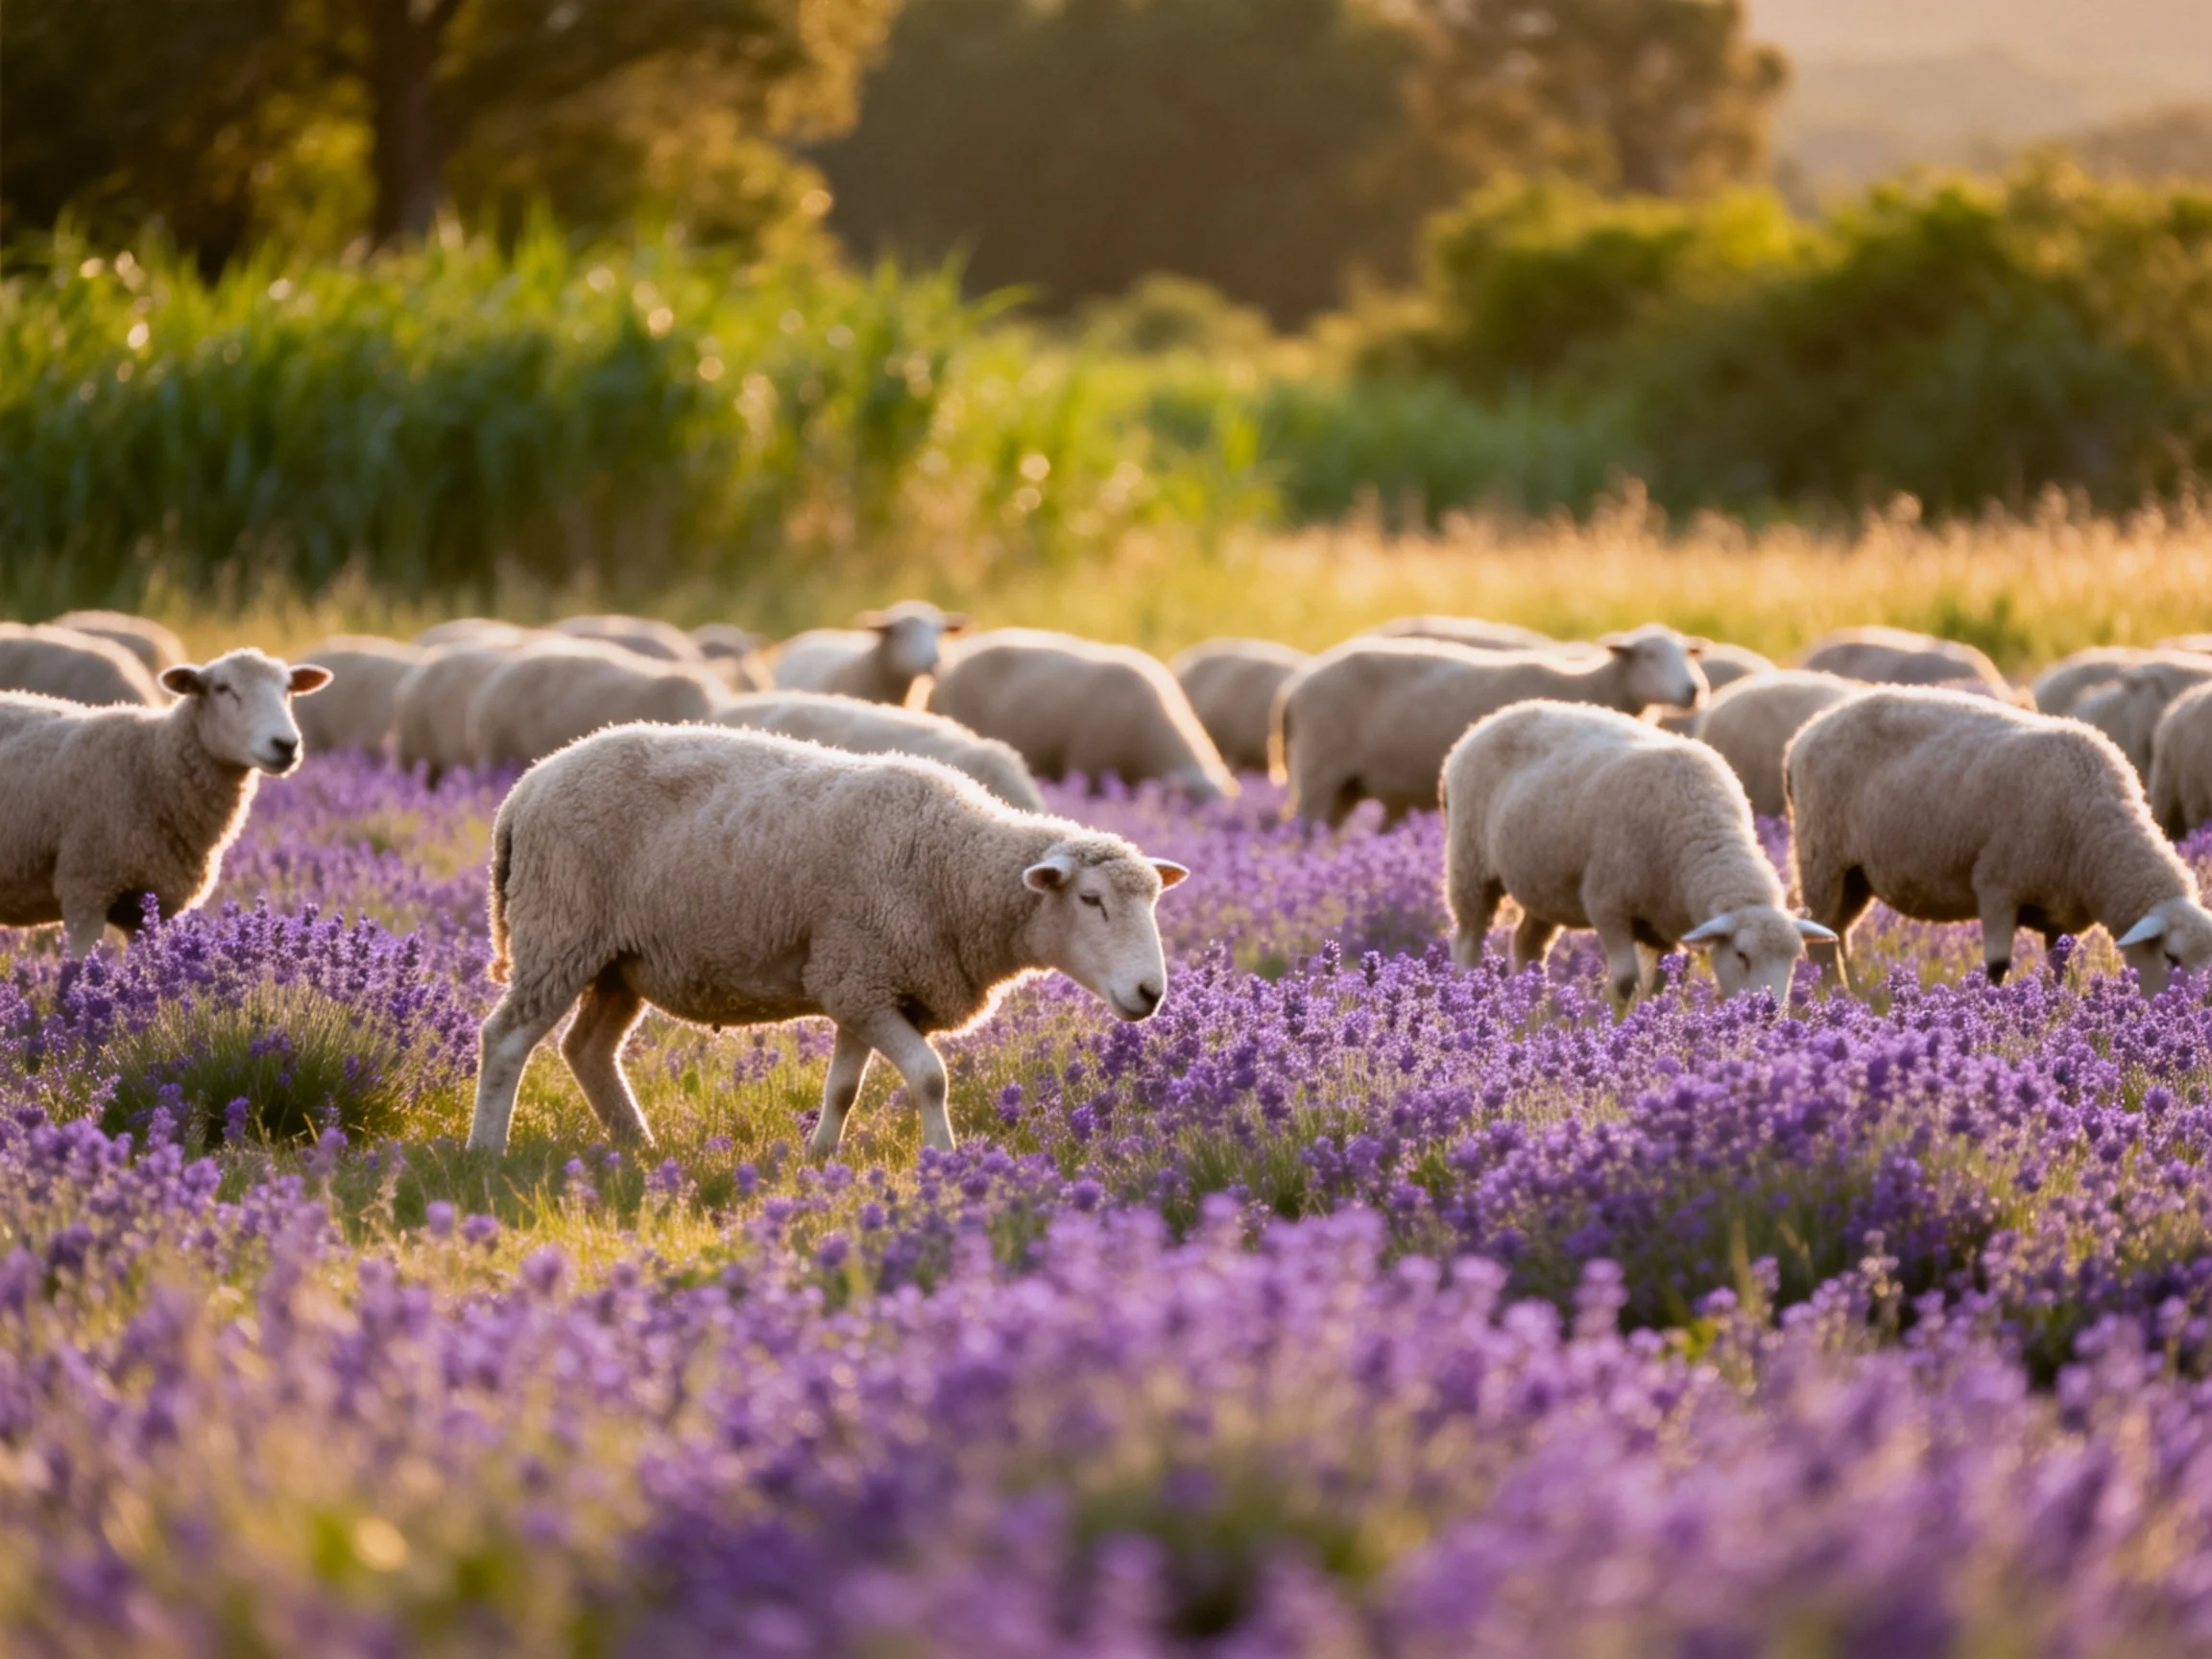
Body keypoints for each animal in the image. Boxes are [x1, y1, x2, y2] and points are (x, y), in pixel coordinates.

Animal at [0, 650, 329, 954]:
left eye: (287, 689)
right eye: (222, 688)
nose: (286, 744)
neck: (151, 763)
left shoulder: (151, 905)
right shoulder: (85, 890)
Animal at [467, 725, 1189, 1156]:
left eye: (1154, 902)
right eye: (1091, 901)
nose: (1150, 993)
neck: (951, 867)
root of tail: (525, 787)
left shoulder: (863, 983)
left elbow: (844, 1087)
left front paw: (822, 1157)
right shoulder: (860, 981)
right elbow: (930, 1077)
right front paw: (943, 1159)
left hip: (619, 960)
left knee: (588, 1050)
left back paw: (638, 1145)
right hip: (558, 931)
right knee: (504, 1040)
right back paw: (487, 1151)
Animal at [1271, 626, 1707, 828]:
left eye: (1687, 653)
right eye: (1649, 655)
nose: (1694, 690)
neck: (1589, 684)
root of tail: (1294, 689)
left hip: (1344, 784)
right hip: (1318, 767)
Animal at [1443, 702, 1833, 1002]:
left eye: (1796, 958)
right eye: (1742, 955)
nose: (1769, 1013)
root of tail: (1488, 720)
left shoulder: (1668, 924)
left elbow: (1664, 983)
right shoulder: (1607, 903)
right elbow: (1625, 981)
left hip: (1542, 884)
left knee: (1527, 944)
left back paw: (1532, 1003)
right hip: (1469, 866)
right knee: (1468, 940)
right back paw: (1467, 988)